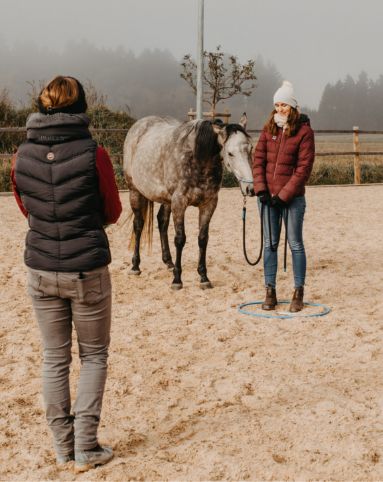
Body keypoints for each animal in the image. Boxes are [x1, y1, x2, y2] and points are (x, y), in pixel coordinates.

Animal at [124, 116, 255, 290]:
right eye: (230, 153)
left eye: (250, 149)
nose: (249, 188)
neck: (197, 159)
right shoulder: (179, 203)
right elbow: (180, 239)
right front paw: (177, 280)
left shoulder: (209, 204)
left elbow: (203, 239)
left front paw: (204, 277)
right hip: (135, 192)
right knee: (138, 225)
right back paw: (135, 266)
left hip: (166, 200)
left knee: (162, 222)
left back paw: (169, 262)